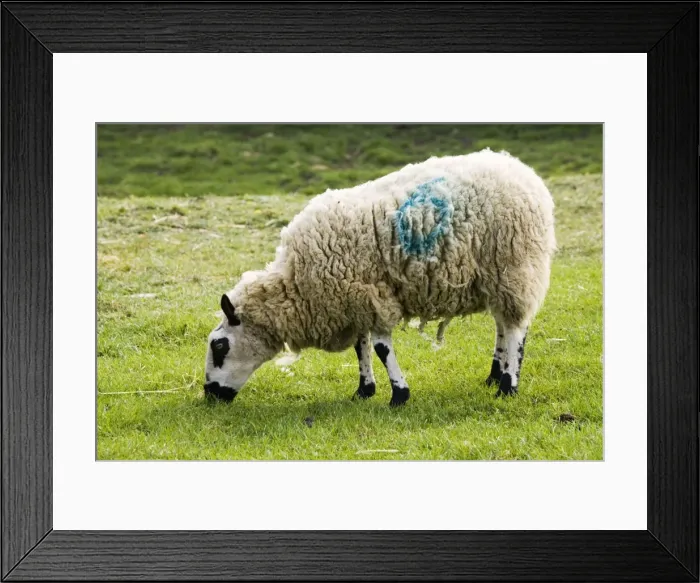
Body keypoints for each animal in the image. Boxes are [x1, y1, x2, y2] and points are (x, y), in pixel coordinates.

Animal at [204, 148, 556, 406]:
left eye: (219, 346)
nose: (209, 394)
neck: (296, 286)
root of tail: (520, 169)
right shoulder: (354, 297)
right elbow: (362, 347)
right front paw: (364, 390)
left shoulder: (373, 297)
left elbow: (381, 348)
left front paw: (399, 394)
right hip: (497, 277)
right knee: (503, 325)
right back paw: (494, 374)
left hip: (514, 265)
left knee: (515, 328)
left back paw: (507, 385)